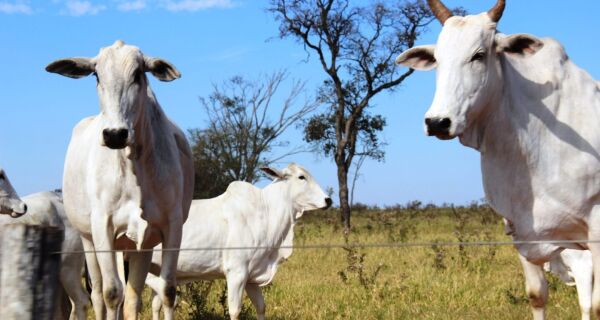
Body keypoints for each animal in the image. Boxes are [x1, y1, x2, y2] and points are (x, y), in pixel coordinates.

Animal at [46, 40, 195, 320]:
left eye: (137, 74)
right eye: (96, 75)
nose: (115, 134)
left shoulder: (170, 227)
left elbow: (166, 291)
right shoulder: (103, 226)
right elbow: (111, 293)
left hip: (138, 246)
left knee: (132, 297)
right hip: (88, 241)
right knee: (98, 294)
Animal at [146, 164, 332, 320]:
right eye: (301, 177)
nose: (328, 200)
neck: (266, 212)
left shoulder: (251, 277)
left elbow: (261, 307)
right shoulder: (236, 272)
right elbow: (235, 311)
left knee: (156, 305)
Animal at [396, 0, 600, 318]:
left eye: (479, 55)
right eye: (437, 60)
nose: (437, 122)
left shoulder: (594, 233)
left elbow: (594, 304)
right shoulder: (524, 233)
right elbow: (537, 295)